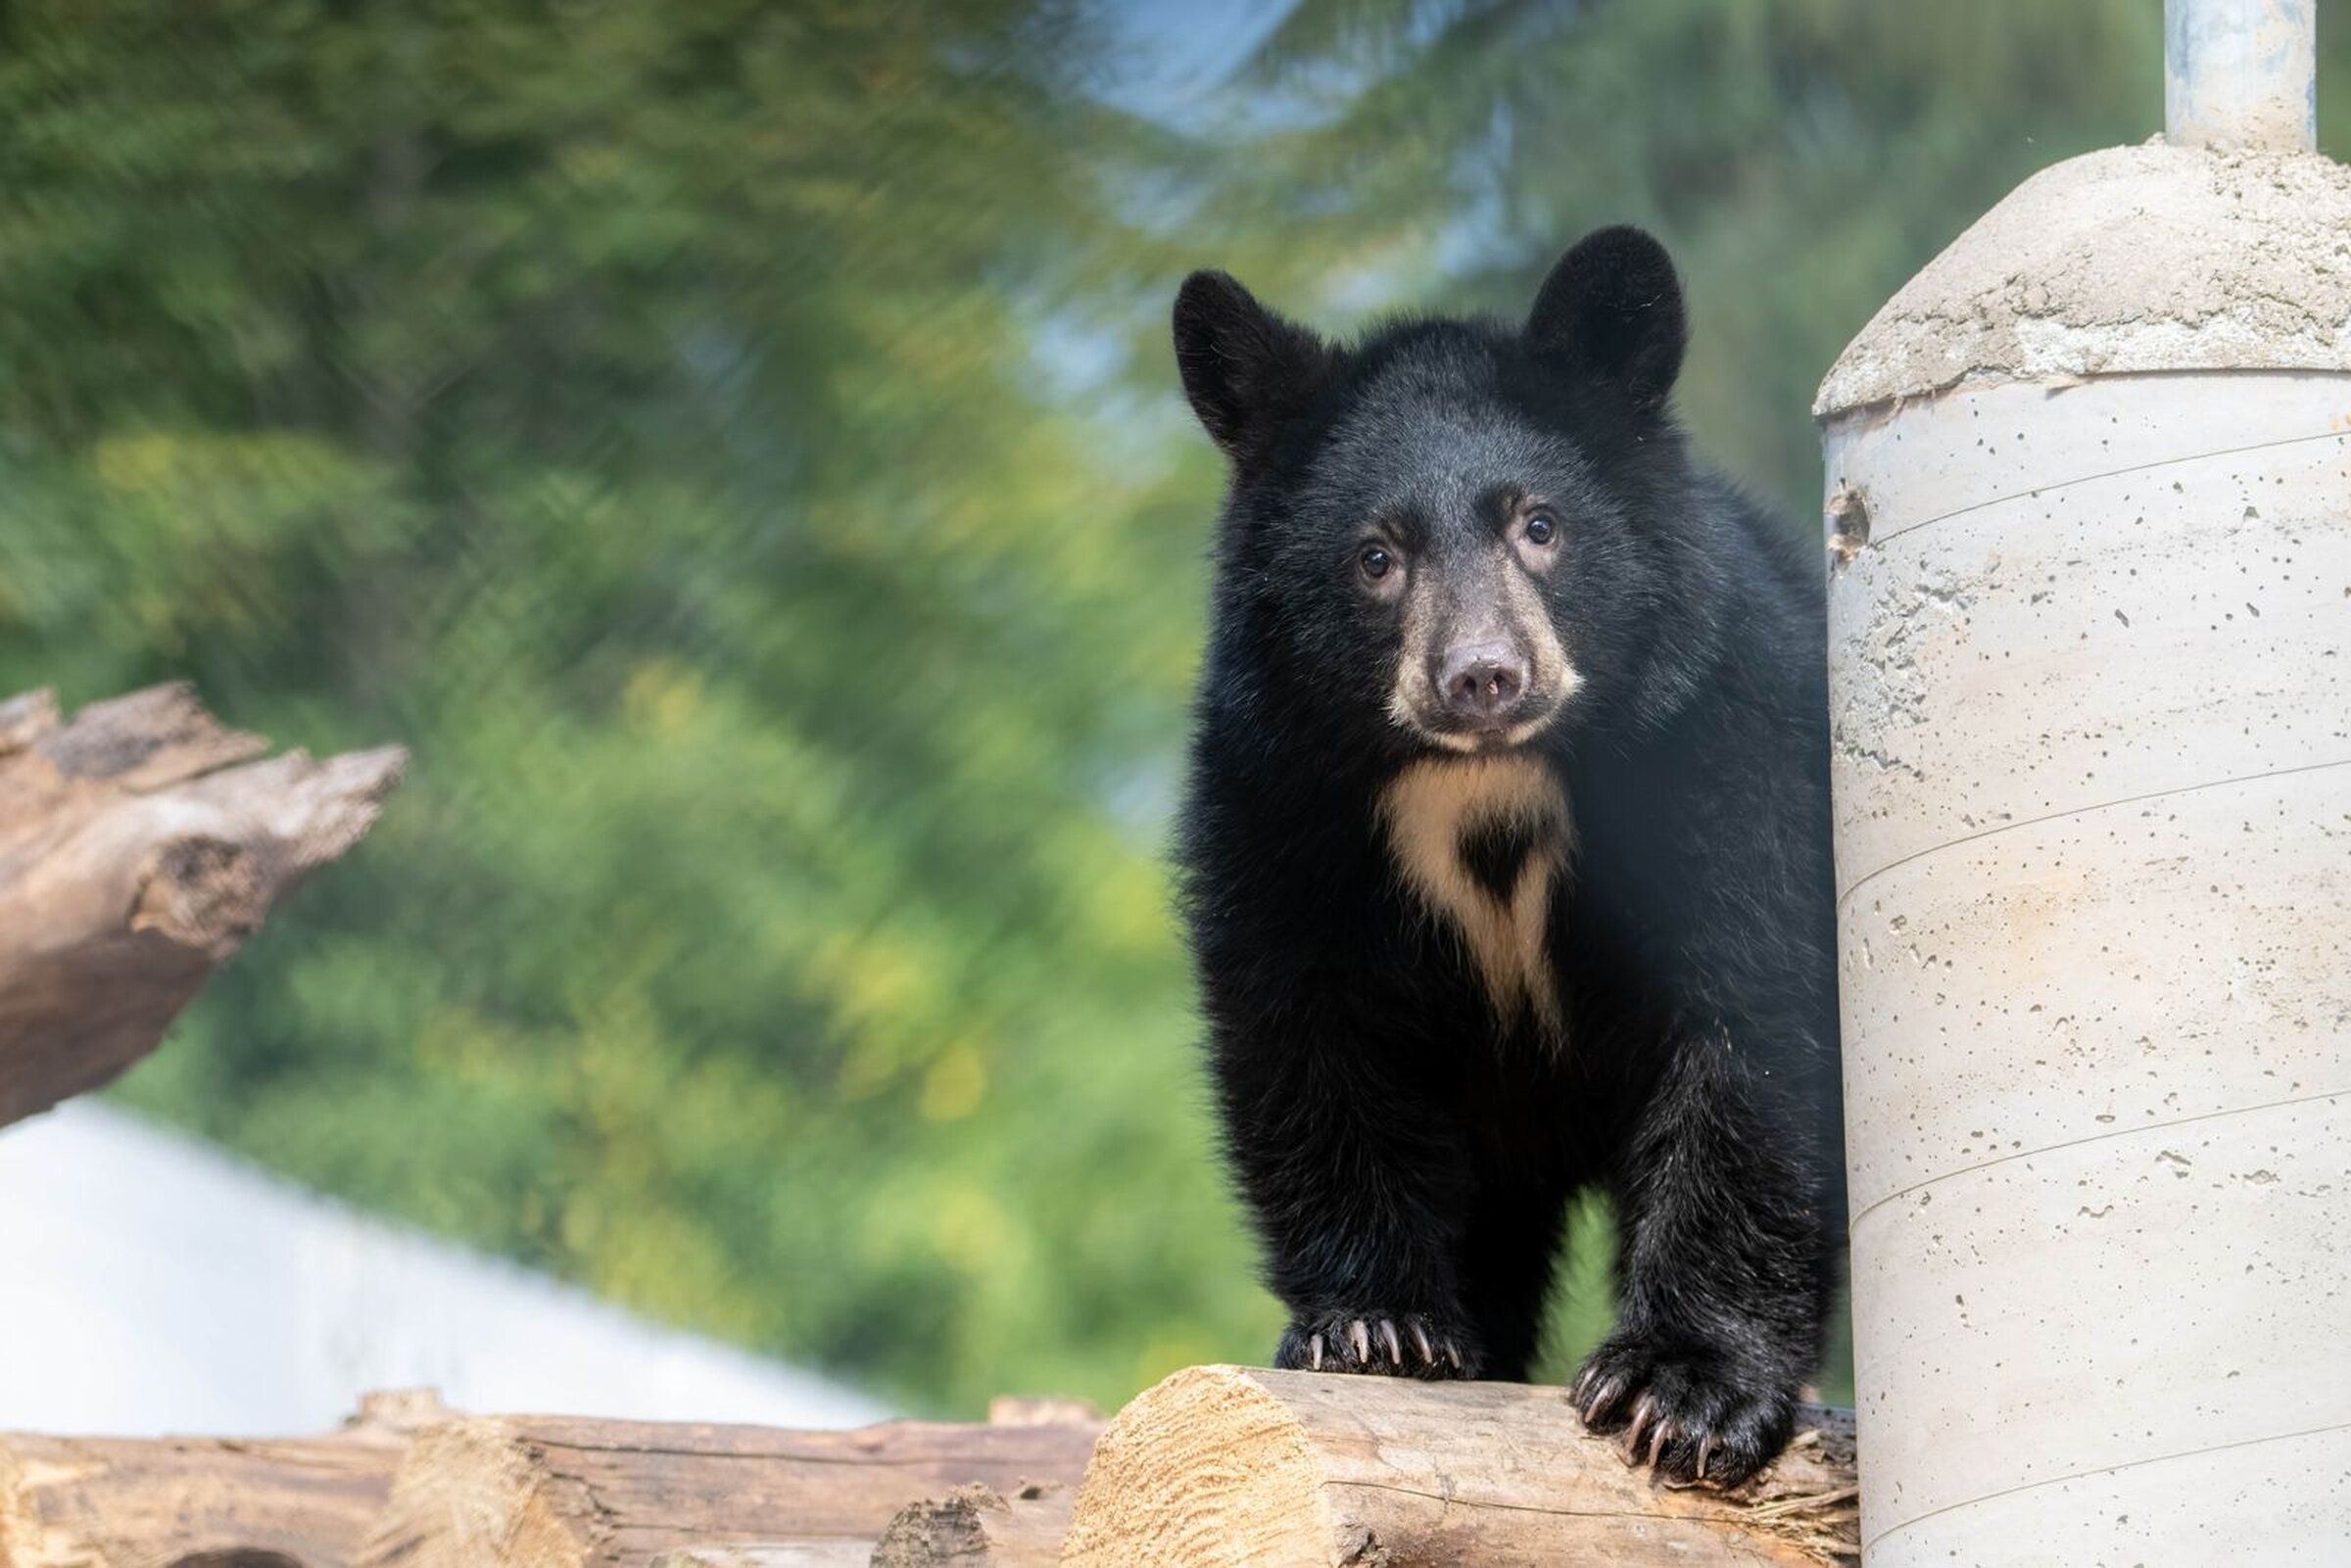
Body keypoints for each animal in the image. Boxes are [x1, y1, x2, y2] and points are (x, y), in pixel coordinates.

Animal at [1170, 226, 1841, 1487]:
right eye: (1376, 555)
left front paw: (1680, 1388)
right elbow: (1309, 1030)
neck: (1486, 779)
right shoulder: (1283, 792)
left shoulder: (1725, 750)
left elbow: (1755, 1017)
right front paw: (1376, 1328)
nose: (1482, 676)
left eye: (1540, 525)